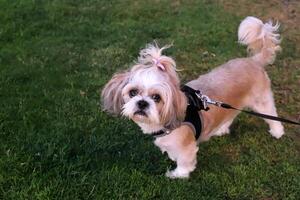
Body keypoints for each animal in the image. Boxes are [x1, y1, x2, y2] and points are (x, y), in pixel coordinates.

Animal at [100, 16, 284, 178]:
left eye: (157, 97)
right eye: (133, 93)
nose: (142, 103)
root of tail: (253, 61)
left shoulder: (186, 147)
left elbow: (184, 163)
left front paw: (178, 175)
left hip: (262, 102)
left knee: (272, 116)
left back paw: (277, 132)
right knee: (231, 114)